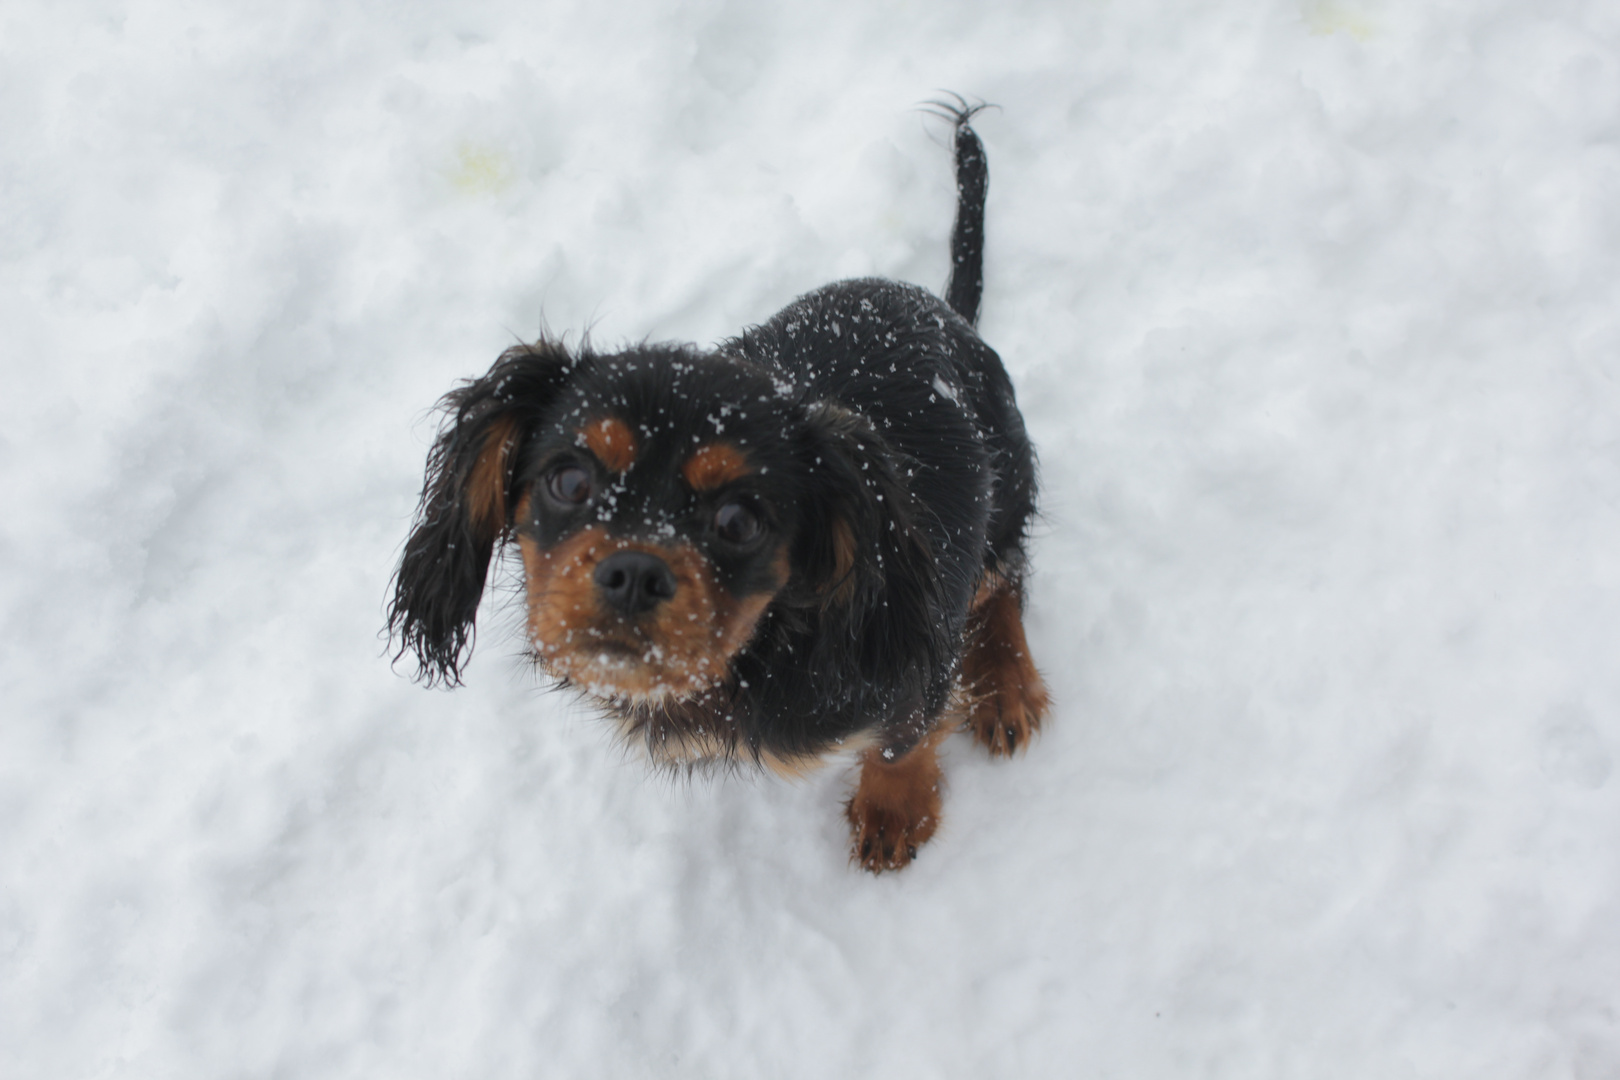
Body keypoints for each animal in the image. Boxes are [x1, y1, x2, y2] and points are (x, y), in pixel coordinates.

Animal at [392, 101, 1049, 874]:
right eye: (569, 479)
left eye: (740, 521)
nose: (633, 574)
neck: (752, 653)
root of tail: (948, 315)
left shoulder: (920, 655)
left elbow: (903, 737)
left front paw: (895, 809)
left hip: (1003, 498)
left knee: (1007, 578)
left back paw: (1006, 684)